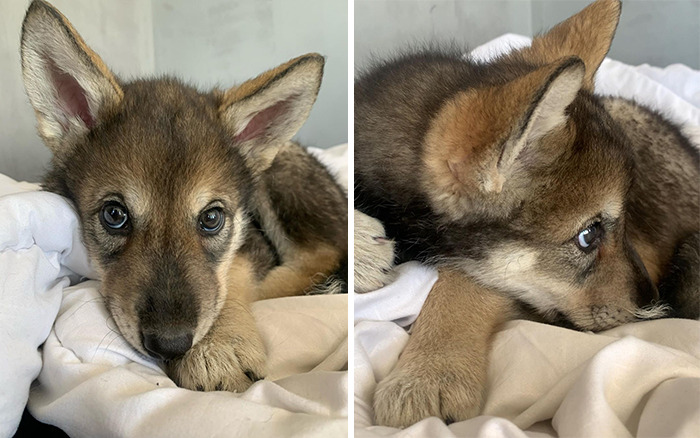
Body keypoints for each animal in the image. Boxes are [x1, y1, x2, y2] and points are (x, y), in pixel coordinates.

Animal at [20, 0, 347, 392]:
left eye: (211, 218)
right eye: (115, 215)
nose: (171, 344)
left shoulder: (249, 244)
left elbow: (230, 273)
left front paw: (219, 345)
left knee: (322, 254)